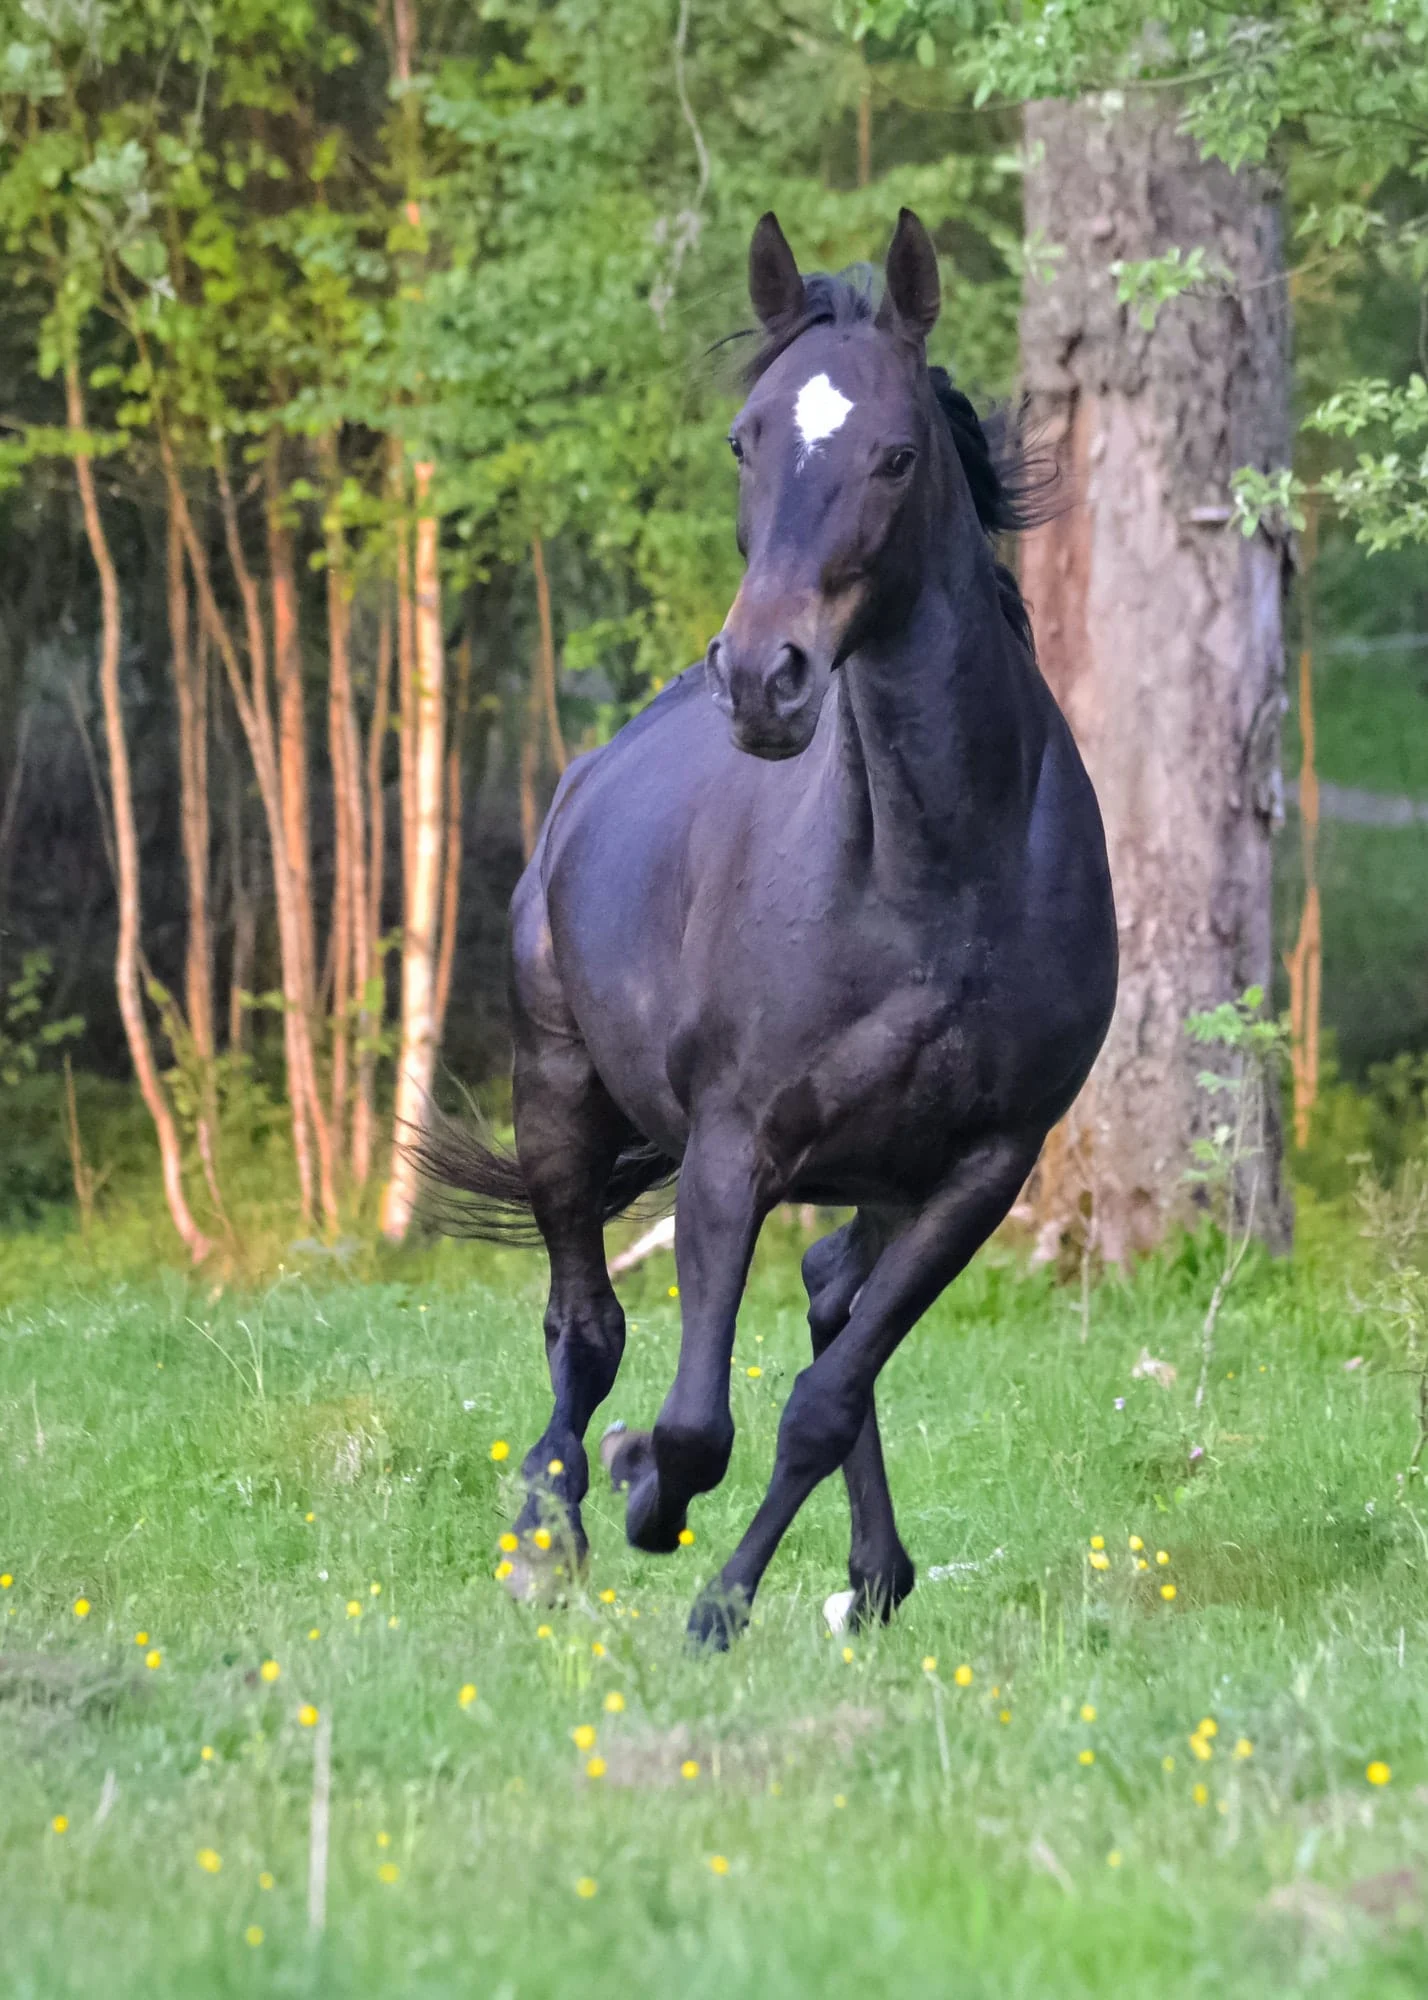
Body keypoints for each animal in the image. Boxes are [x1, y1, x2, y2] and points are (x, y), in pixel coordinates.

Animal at [426, 208, 1117, 1647]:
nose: (761, 677)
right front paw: (645, 1492)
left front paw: (731, 1599)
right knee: (582, 1325)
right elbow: (694, 1417)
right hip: (556, 1097)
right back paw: (552, 1530)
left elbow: (822, 1399)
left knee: (826, 1304)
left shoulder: (981, 1169)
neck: (928, 877)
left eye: (896, 453)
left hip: (877, 1177)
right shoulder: (731, 1145)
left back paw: (872, 1571)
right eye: (746, 440)